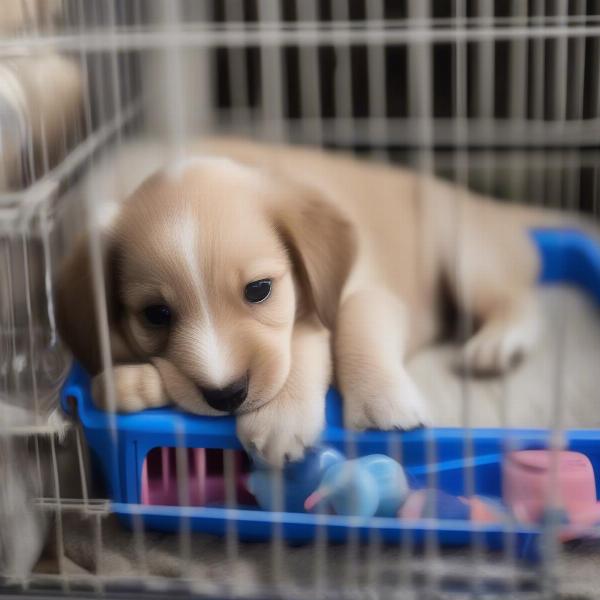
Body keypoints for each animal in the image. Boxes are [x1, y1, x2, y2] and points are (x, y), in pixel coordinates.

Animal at [55, 138, 544, 466]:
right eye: (156, 315)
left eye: (258, 289)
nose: (226, 395)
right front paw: (131, 385)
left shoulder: (363, 293)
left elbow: (349, 332)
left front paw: (375, 405)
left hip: (466, 253)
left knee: (516, 302)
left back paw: (494, 346)